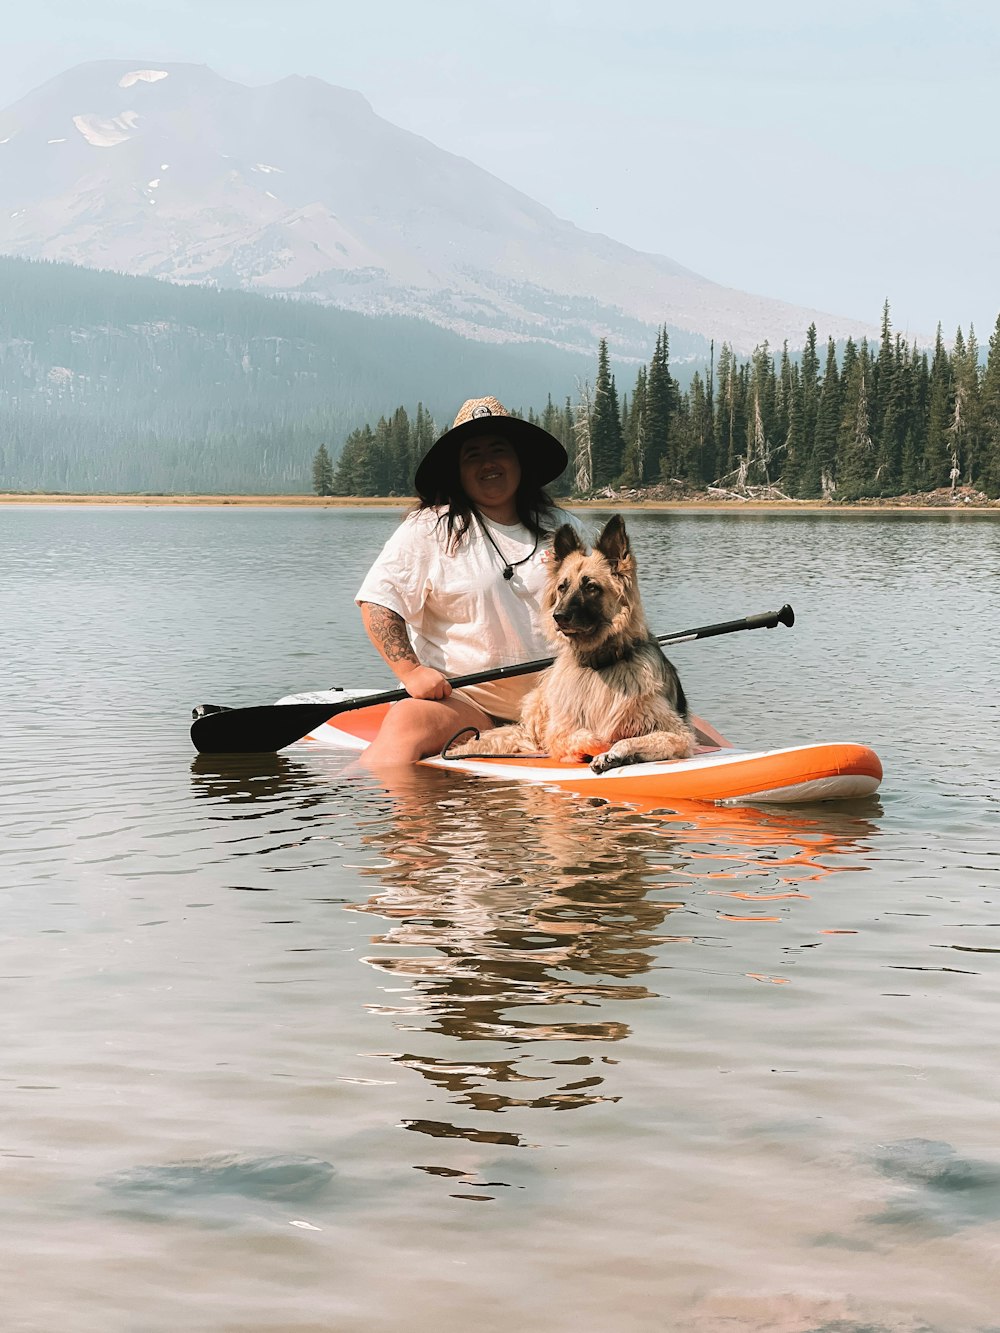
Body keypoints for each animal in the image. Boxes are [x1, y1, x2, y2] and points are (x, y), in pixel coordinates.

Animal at [445, 514, 698, 778]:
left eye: (591, 587)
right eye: (562, 587)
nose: (559, 616)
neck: (599, 664)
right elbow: (585, 736)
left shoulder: (678, 735)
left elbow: (635, 739)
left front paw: (614, 754)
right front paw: (599, 749)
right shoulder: (560, 733)